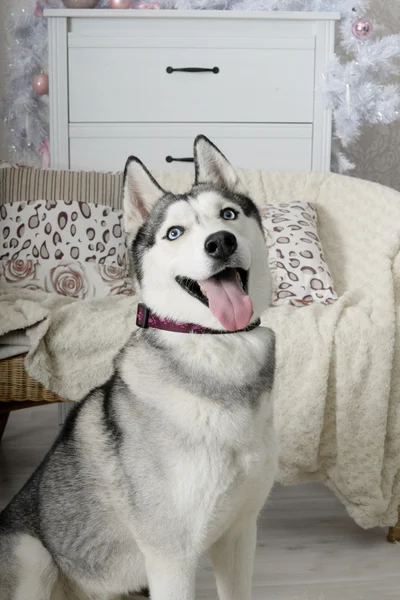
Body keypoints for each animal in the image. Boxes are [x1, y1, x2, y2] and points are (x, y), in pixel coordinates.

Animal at [0, 137, 276, 600]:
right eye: (174, 232)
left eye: (228, 214)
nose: (220, 242)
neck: (216, 346)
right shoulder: (172, 558)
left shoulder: (239, 536)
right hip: (32, 555)